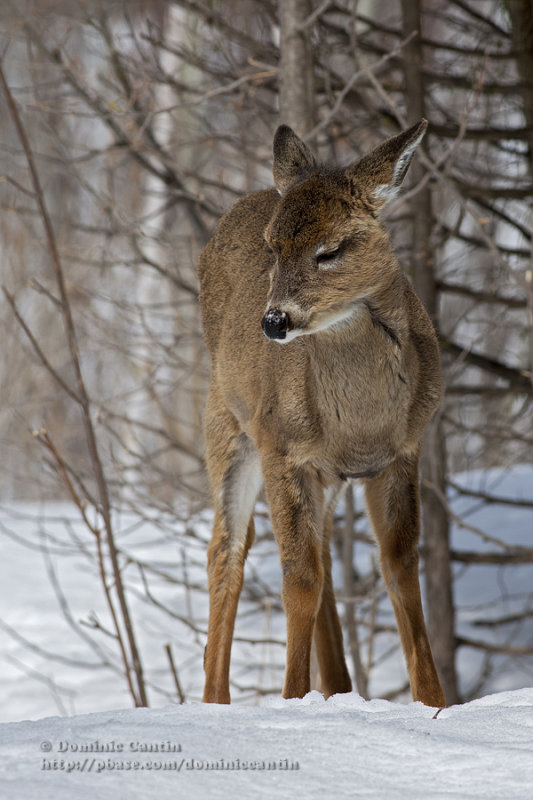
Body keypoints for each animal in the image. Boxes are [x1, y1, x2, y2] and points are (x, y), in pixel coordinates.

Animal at [197, 117, 442, 708]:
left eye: (329, 250)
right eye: (273, 247)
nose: (274, 321)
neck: (361, 425)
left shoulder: (403, 452)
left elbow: (400, 567)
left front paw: (435, 704)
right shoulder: (283, 450)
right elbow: (298, 579)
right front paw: (291, 700)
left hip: (322, 475)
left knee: (326, 553)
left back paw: (337, 688)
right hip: (228, 426)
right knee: (227, 549)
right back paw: (215, 701)